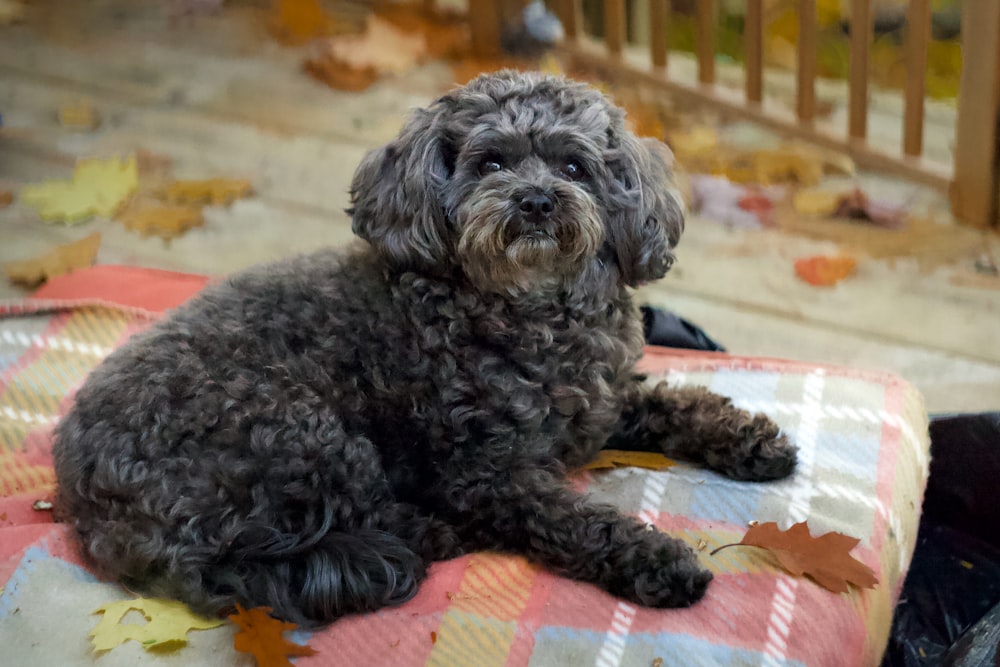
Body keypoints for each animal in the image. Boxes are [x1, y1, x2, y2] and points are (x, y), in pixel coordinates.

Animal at [52, 70, 796, 628]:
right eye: (490, 161)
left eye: (574, 165)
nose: (535, 201)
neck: (529, 311)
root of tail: (84, 499)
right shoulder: (486, 474)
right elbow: (575, 519)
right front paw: (657, 559)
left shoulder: (600, 402)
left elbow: (675, 401)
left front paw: (750, 438)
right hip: (303, 431)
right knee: (286, 541)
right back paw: (431, 531)